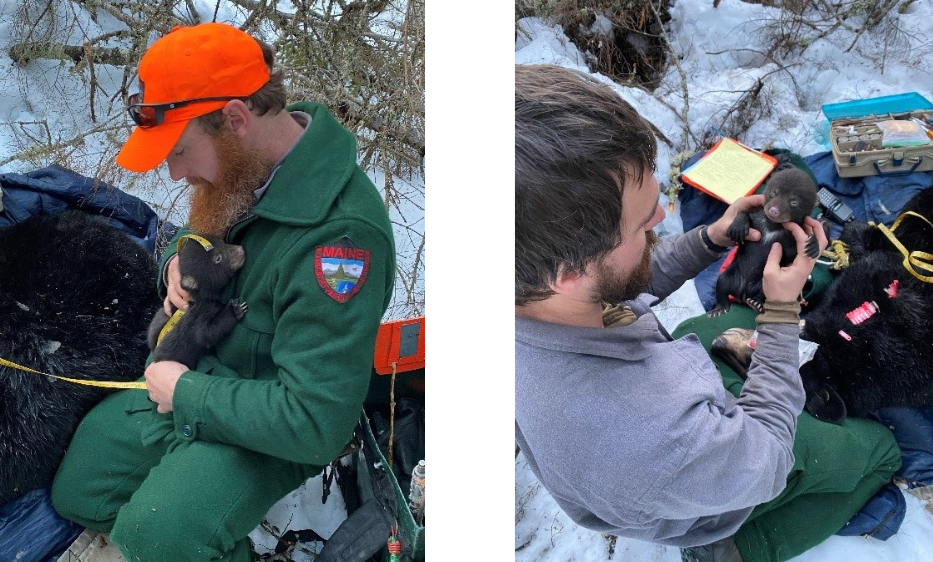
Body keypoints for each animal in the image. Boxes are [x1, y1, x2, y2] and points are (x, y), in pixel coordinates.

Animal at [147, 230, 246, 366]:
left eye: (223, 243)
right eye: (218, 258)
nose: (240, 250)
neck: (197, 296)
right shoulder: (197, 313)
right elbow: (206, 334)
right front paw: (235, 309)